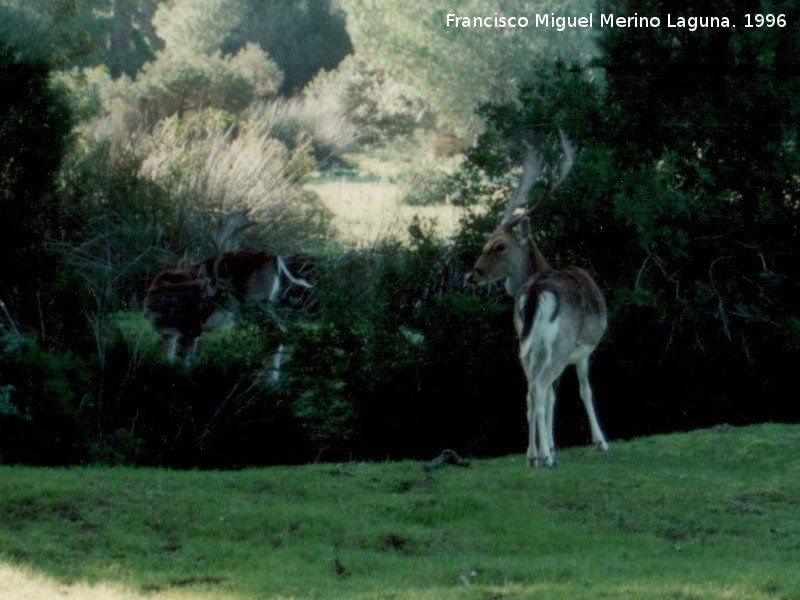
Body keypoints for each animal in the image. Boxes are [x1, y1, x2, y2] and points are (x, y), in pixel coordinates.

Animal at [462, 136, 608, 468]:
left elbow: (552, 397)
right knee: (540, 387)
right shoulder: (583, 352)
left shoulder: (536, 347)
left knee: (531, 391)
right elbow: (585, 391)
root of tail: (536, 291)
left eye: (498, 246)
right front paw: (600, 442)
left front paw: (549, 445)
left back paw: (533, 455)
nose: (471, 275)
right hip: (560, 344)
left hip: (526, 345)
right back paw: (545, 458)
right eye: (487, 244)